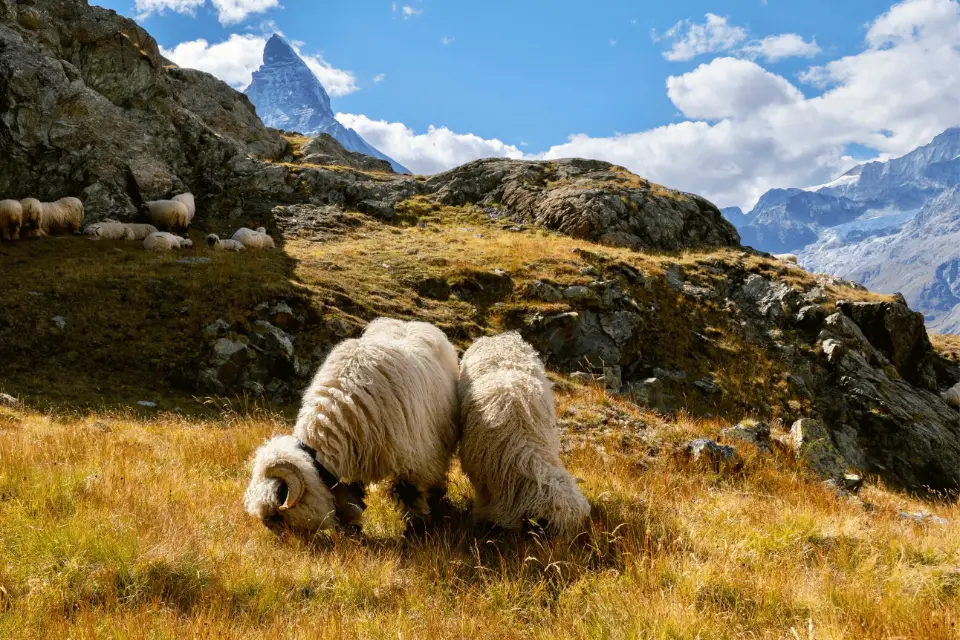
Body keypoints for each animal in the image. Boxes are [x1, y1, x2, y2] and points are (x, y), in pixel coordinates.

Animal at [244, 317, 460, 533]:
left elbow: (408, 492)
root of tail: (411, 322)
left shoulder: (409, 458)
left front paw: (416, 527)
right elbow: (350, 494)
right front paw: (353, 527)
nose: (267, 526)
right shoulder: (358, 453)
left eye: (279, 506)